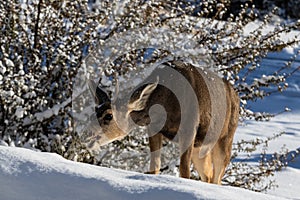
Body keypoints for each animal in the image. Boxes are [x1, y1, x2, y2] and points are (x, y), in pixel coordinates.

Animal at [86, 60, 239, 184]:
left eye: (109, 116)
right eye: (94, 112)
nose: (87, 136)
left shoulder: (189, 127)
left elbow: (184, 172)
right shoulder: (153, 128)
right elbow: (154, 167)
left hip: (225, 138)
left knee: (217, 177)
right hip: (200, 146)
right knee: (208, 175)